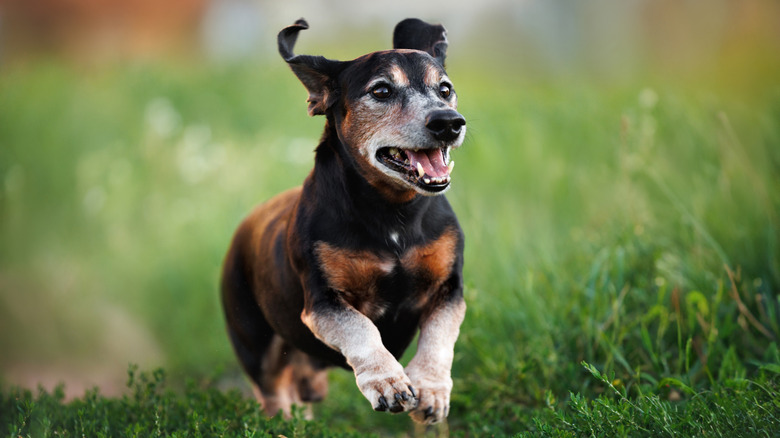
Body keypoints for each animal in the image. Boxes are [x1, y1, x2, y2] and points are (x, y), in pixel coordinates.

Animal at [219, 18, 466, 424]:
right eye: (381, 90)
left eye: (445, 89)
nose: (449, 123)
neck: (392, 214)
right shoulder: (323, 302)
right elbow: (360, 330)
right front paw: (387, 382)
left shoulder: (449, 288)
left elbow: (440, 335)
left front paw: (431, 388)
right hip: (256, 348)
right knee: (275, 396)